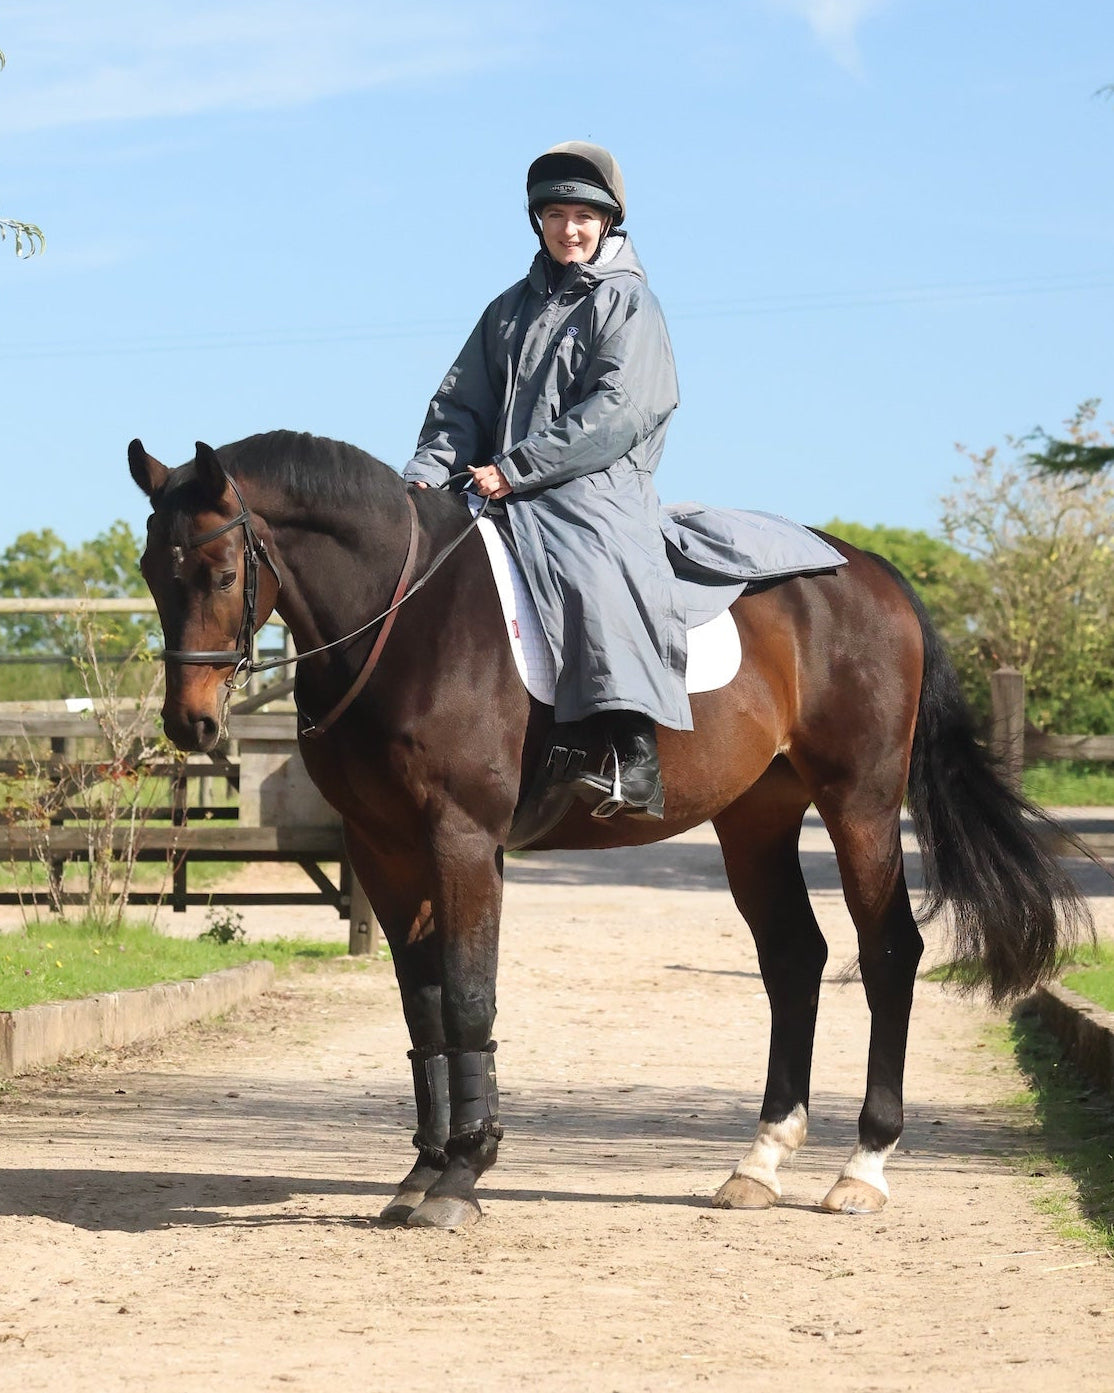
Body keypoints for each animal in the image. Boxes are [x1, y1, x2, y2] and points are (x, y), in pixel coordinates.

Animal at [127, 430, 1086, 1230]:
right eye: (149, 569)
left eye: (219, 571)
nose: (190, 724)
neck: (405, 621)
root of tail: (867, 569)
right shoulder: (384, 849)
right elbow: (424, 1007)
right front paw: (424, 1171)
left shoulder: (461, 839)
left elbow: (469, 998)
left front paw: (462, 1175)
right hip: (757, 819)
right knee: (794, 959)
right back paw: (759, 1161)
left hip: (861, 804)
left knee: (887, 953)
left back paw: (863, 1168)